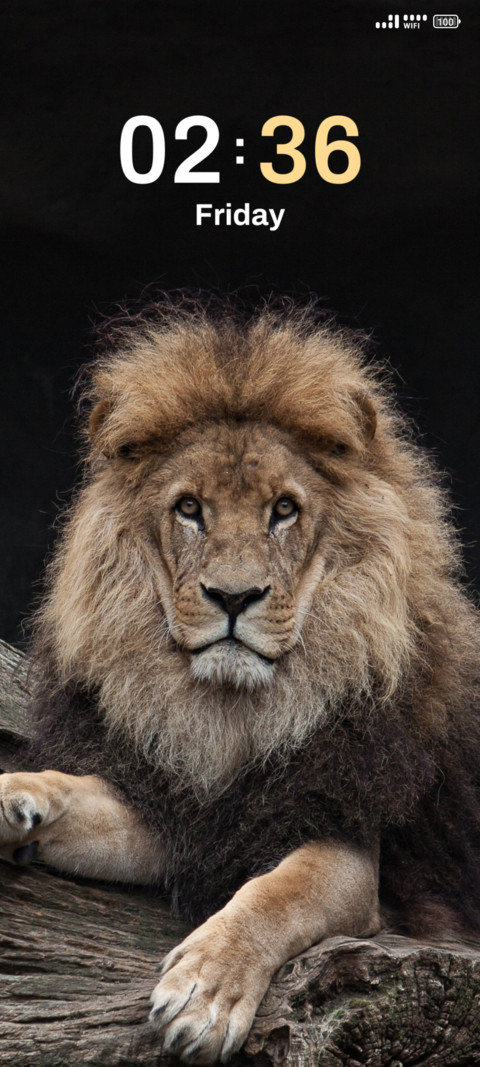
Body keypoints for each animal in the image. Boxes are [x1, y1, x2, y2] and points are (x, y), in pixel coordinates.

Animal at [1, 301, 480, 1063]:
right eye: (189, 508)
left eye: (283, 510)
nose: (233, 597)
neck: (233, 718)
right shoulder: (190, 811)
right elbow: (84, 795)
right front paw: (17, 797)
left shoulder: (349, 844)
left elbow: (279, 891)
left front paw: (206, 991)